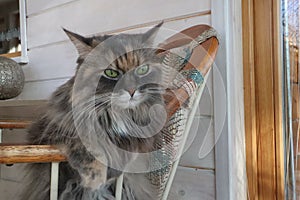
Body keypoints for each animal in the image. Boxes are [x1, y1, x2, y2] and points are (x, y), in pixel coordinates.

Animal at [19, 23, 175, 200]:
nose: (132, 91)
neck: (116, 114)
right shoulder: (54, 131)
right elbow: (87, 147)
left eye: (142, 70)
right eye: (111, 73)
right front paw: (96, 180)